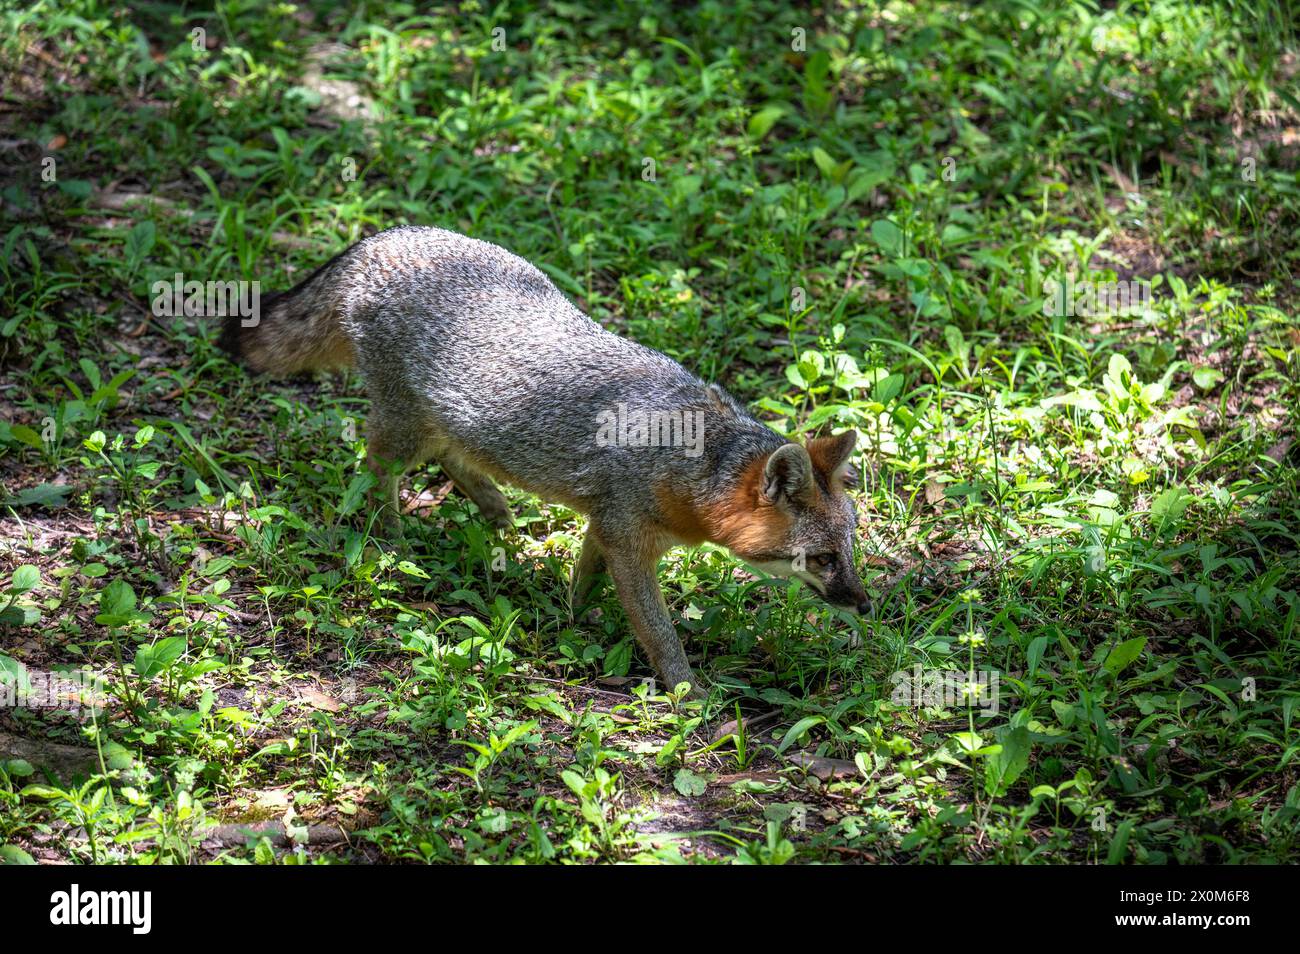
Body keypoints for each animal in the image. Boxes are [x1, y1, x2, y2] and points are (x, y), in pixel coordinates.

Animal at [222, 227, 868, 696]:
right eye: (822, 559)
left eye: (849, 550)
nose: (865, 604)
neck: (689, 461)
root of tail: (386, 236)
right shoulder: (628, 539)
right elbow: (658, 632)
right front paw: (687, 691)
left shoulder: (606, 527)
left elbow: (585, 581)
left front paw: (571, 620)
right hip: (406, 432)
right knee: (376, 465)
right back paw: (394, 543)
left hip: (452, 425)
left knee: (454, 461)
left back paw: (499, 518)